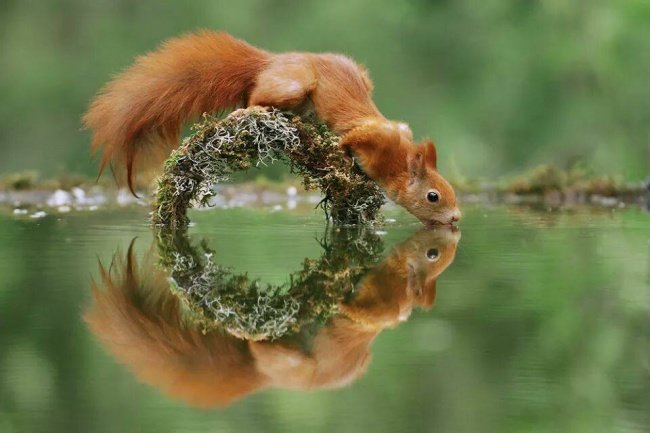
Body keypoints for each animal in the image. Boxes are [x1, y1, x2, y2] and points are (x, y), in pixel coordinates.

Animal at [84, 31, 461, 225]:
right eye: (433, 196)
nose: (456, 218)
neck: (398, 159)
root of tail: (273, 62)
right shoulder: (373, 136)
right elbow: (350, 139)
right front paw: (341, 155)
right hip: (293, 85)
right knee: (253, 97)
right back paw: (248, 110)